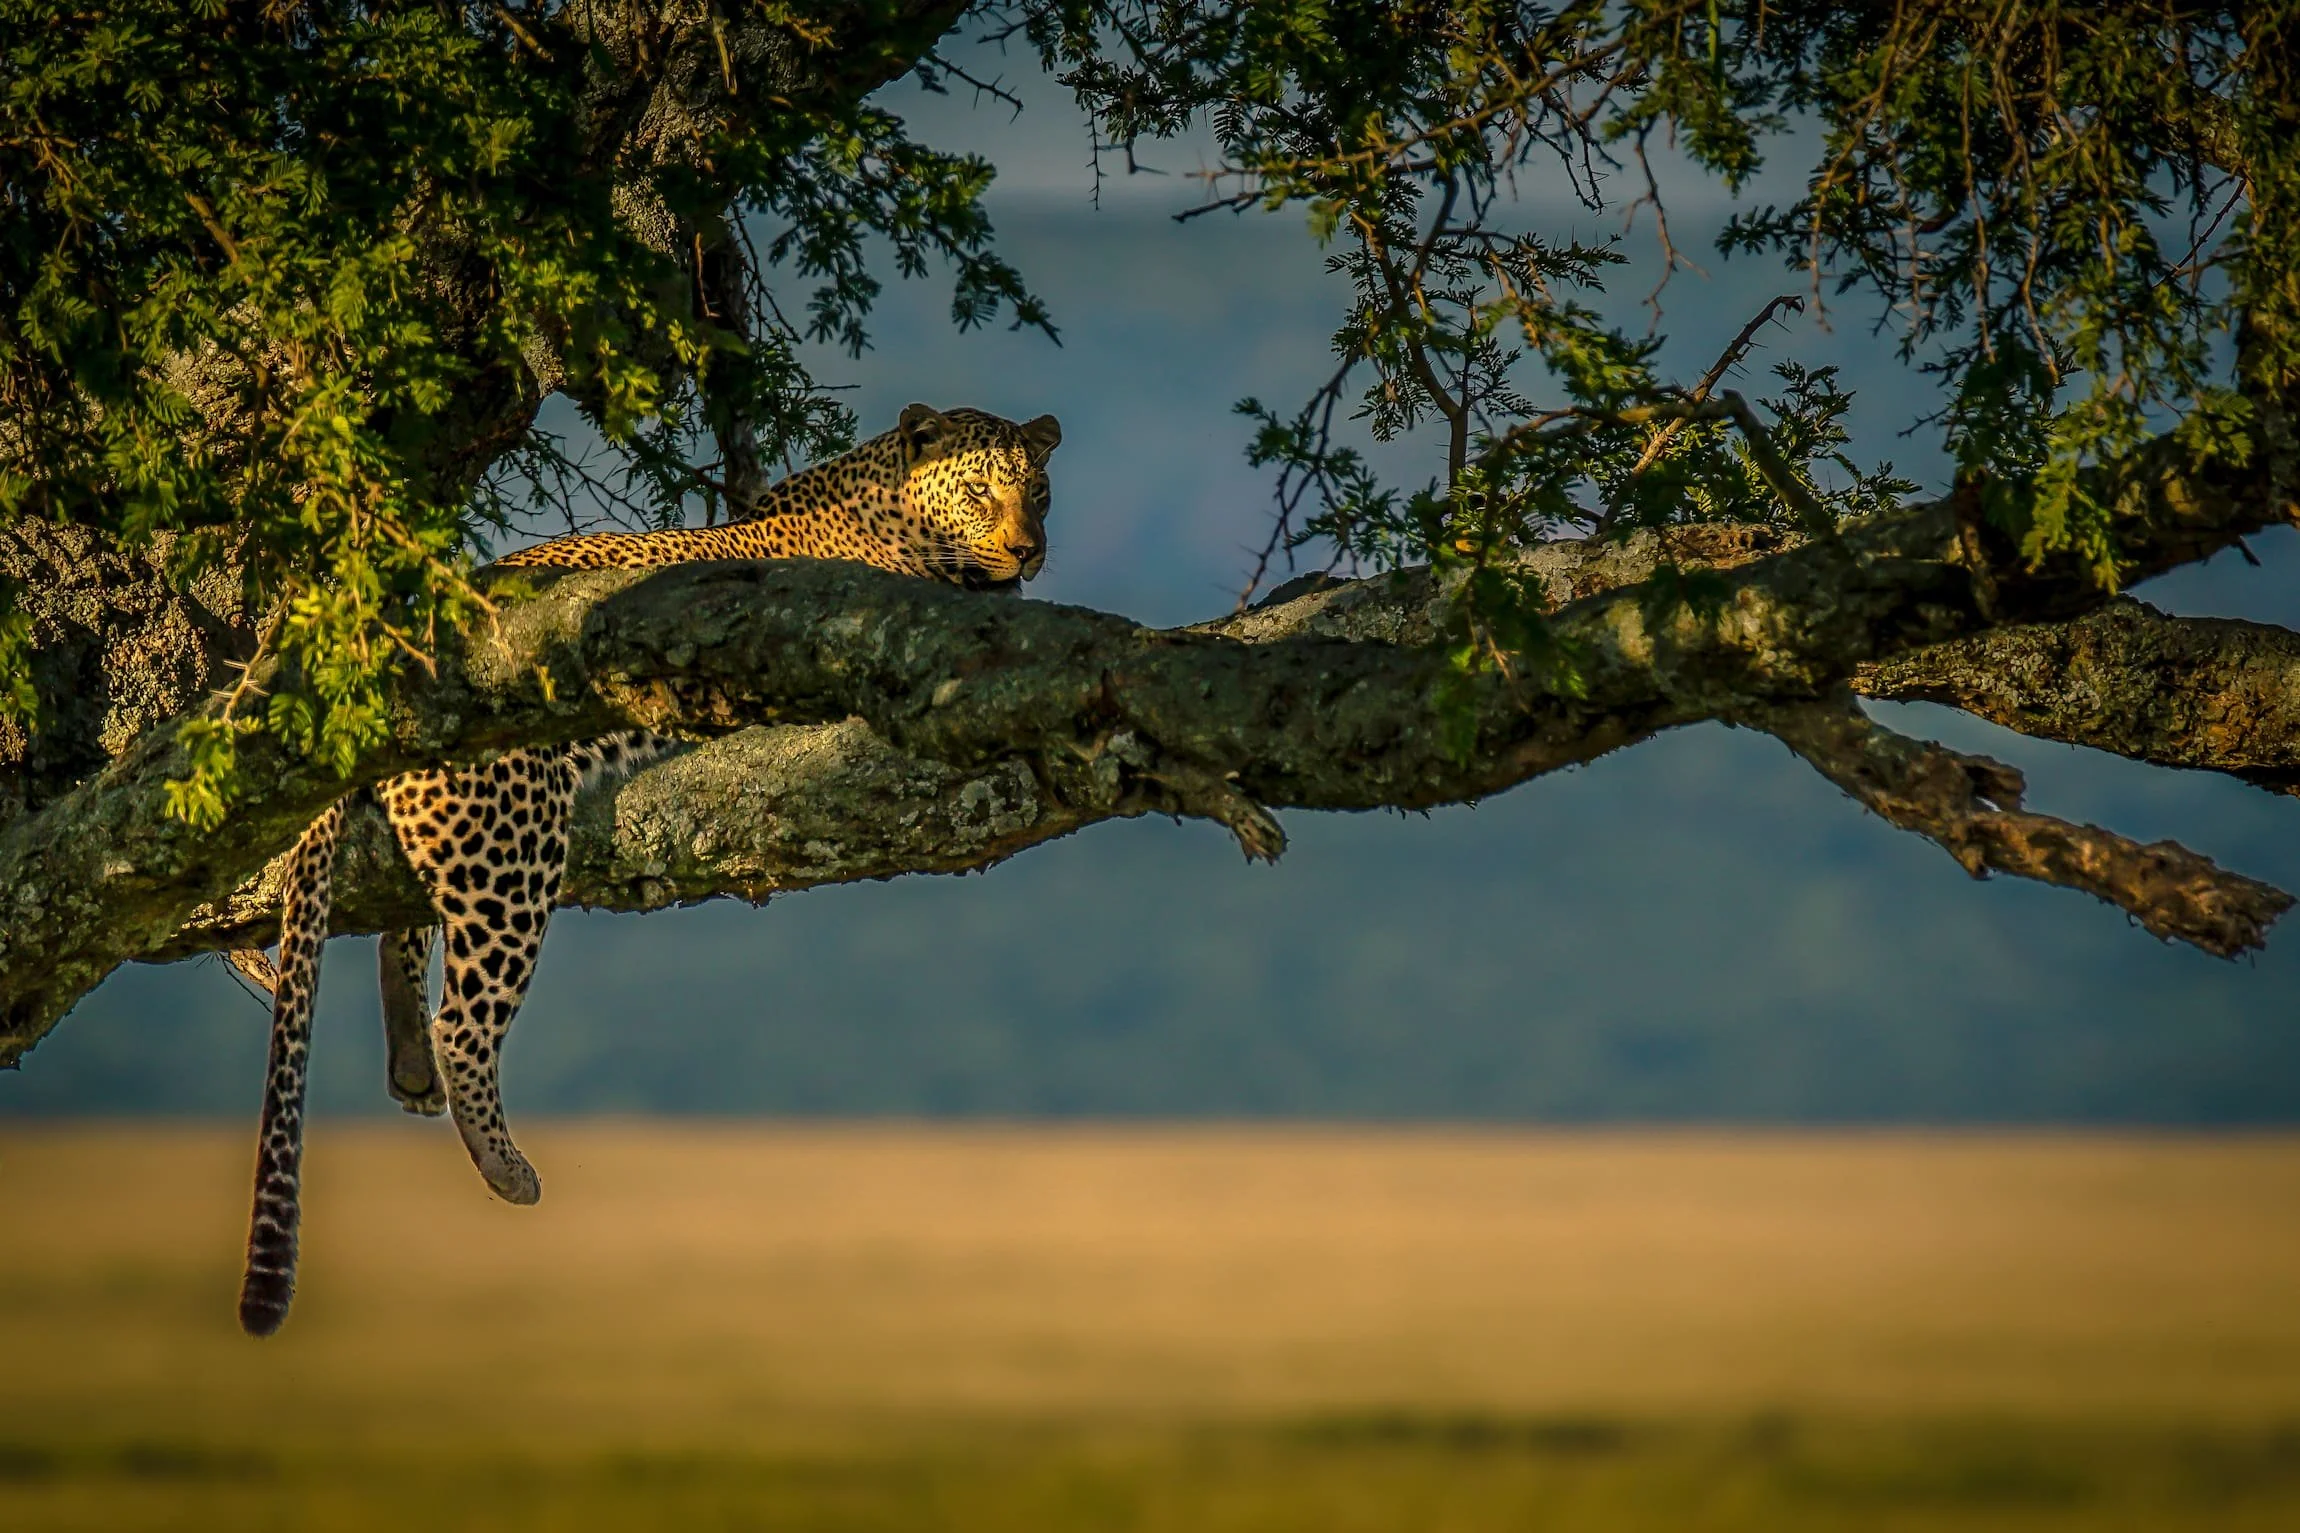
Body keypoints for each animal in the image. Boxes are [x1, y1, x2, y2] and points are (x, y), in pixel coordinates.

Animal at [237, 403, 1061, 1337]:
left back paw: (411, 1063)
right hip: (511, 831)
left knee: (400, 935)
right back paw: (504, 1164)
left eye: (1037, 491)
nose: (1028, 550)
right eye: (980, 491)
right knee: (465, 1016)